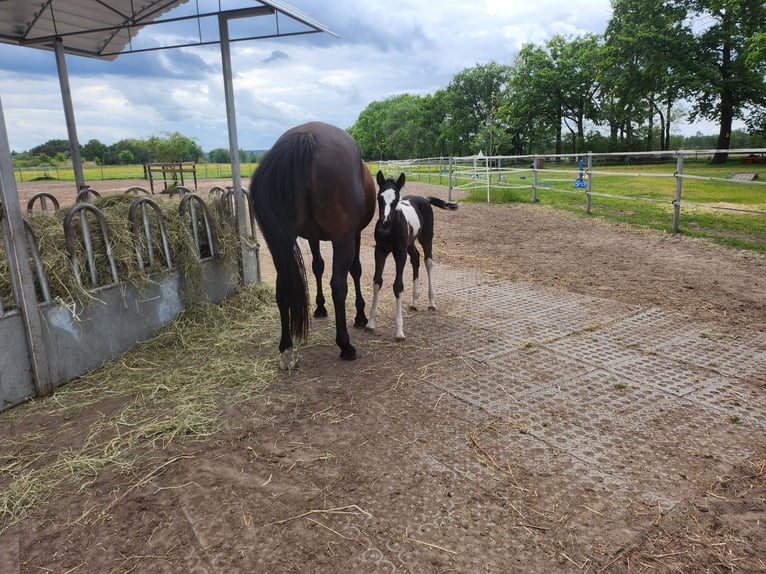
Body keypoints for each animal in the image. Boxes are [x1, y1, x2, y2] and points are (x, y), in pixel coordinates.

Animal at [249, 121, 376, 369]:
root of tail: (305, 137)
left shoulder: (312, 237)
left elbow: (317, 266)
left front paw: (319, 307)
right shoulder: (354, 234)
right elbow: (355, 270)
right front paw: (360, 315)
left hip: (284, 243)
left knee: (282, 287)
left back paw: (286, 349)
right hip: (343, 239)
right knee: (338, 285)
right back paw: (345, 346)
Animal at [365, 171, 458, 341]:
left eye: (396, 199)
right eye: (379, 198)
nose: (384, 224)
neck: (391, 229)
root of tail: (425, 199)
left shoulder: (399, 252)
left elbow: (398, 286)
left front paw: (399, 331)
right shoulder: (380, 251)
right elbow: (377, 281)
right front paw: (370, 323)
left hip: (426, 238)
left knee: (428, 261)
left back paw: (432, 302)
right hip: (410, 243)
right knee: (415, 258)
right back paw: (414, 301)